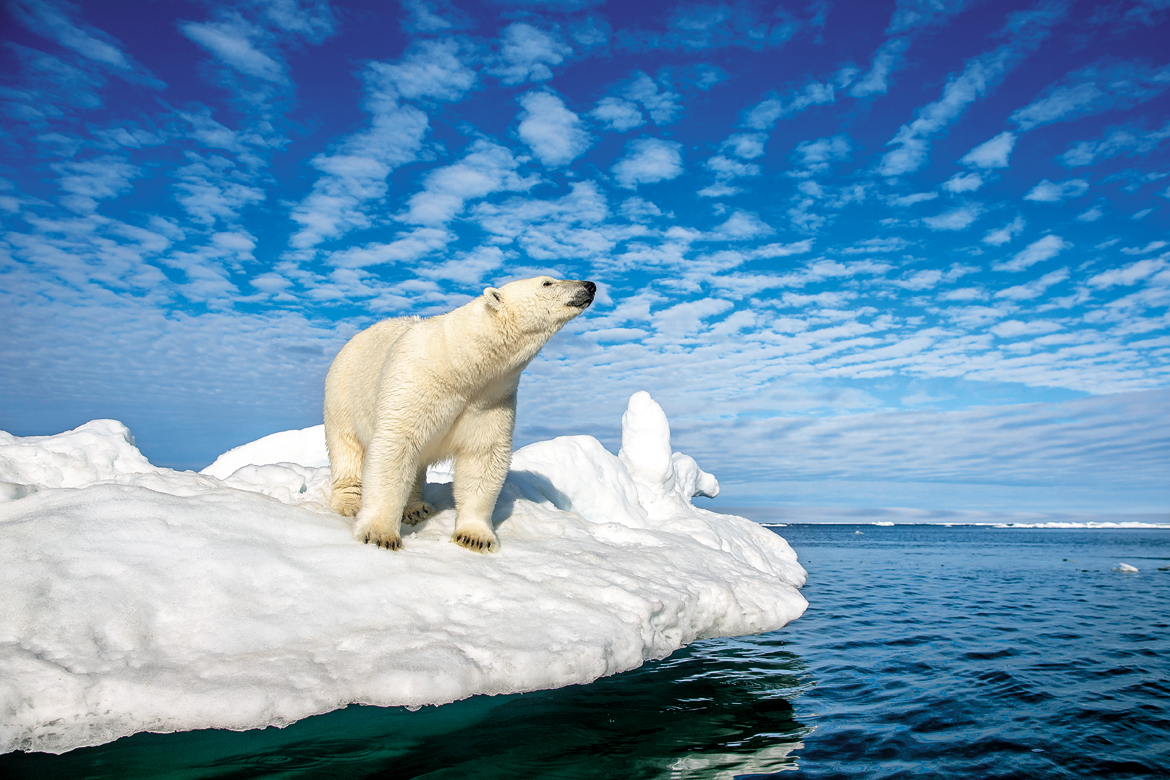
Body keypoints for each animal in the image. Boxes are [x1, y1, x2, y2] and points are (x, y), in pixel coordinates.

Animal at [322, 277, 594, 551]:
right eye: (547, 282)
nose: (589, 285)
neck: (458, 367)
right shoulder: (414, 384)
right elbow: (395, 447)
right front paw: (380, 534)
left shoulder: (491, 400)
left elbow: (483, 455)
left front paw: (474, 537)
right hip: (343, 393)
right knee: (346, 447)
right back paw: (350, 503)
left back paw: (416, 508)